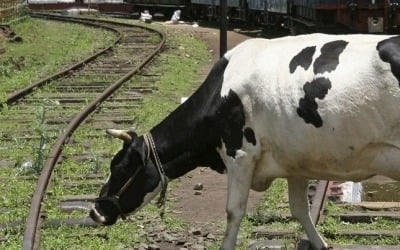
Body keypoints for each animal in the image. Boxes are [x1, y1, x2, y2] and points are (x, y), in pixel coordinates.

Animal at [89, 33, 400, 250]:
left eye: (120, 168)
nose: (95, 212)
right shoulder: (296, 159)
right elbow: (299, 210)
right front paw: (321, 243)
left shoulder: (239, 154)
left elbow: (233, 211)